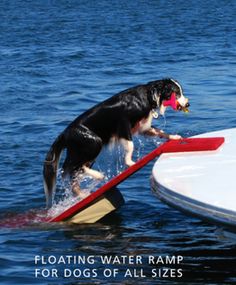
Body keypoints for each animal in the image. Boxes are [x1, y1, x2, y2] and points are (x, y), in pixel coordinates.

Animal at [42, 77, 190, 206]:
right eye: (177, 93)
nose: (188, 103)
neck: (149, 95)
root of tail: (65, 133)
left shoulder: (142, 127)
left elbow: (159, 131)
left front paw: (174, 137)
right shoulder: (123, 124)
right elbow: (130, 145)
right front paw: (130, 162)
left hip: (85, 151)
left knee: (75, 171)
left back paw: (81, 192)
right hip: (93, 142)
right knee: (70, 168)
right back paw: (97, 177)